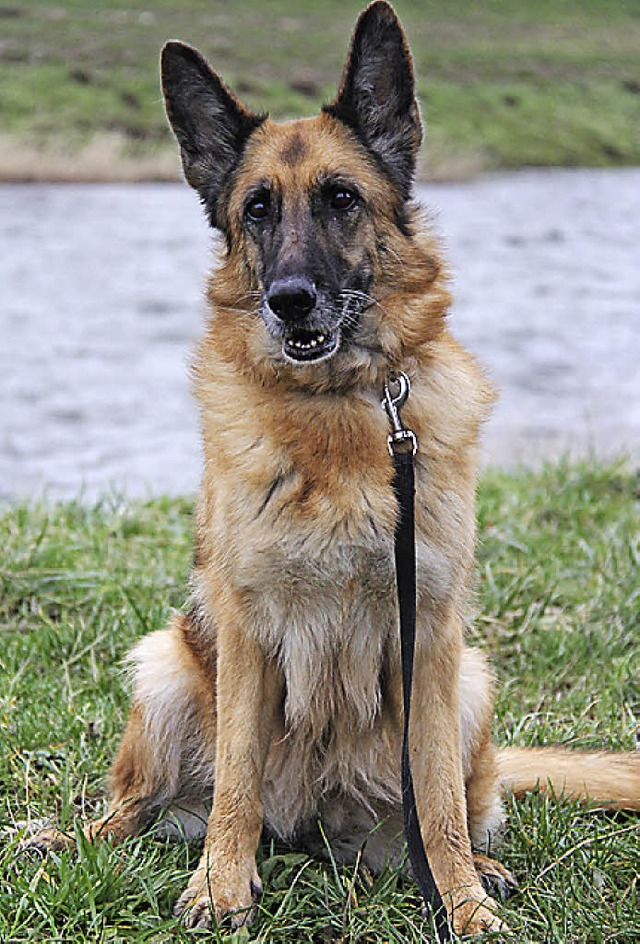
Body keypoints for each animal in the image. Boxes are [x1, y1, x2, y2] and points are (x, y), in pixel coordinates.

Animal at [33, 1, 640, 936]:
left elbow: (438, 800)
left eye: (341, 199)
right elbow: (237, 782)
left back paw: (482, 869)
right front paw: (220, 887)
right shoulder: (246, 634)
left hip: (471, 683)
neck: (342, 413)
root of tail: (311, 828)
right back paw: (78, 841)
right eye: (257, 208)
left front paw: (462, 905)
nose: (290, 301)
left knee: (458, 805)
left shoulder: (431, 636)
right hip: (165, 669)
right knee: (137, 810)